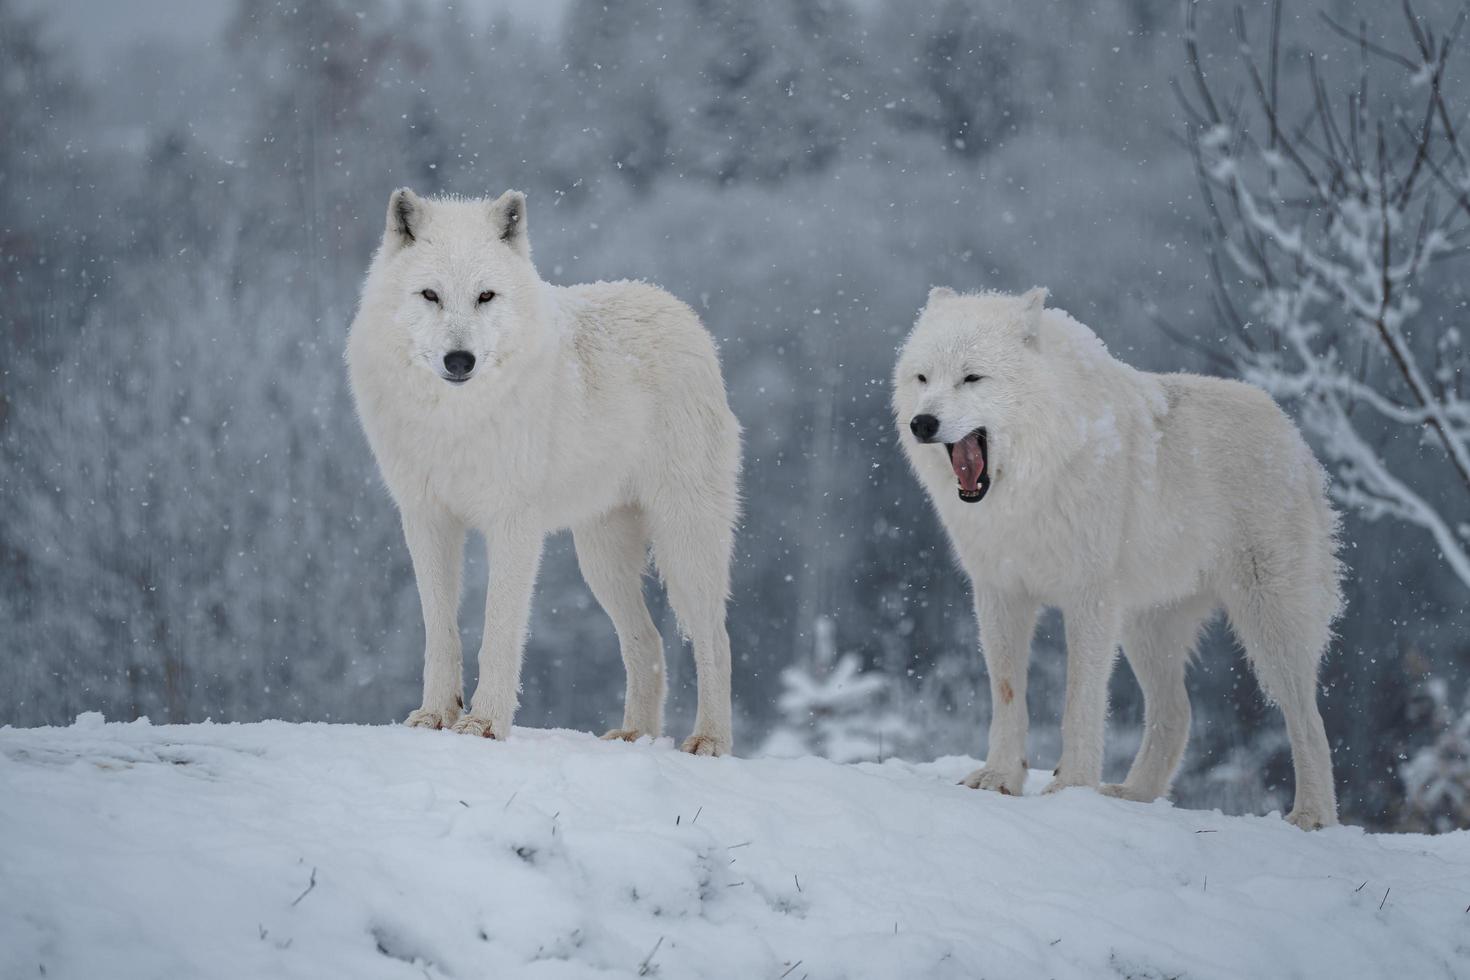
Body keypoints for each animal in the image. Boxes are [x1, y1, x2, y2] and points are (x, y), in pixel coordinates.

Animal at [342, 191, 735, 758]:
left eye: (485, 295)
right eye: (430, 295)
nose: (459, 360)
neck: (457, 421)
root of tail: (678, 309)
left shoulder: (513, 525)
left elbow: (499, 630)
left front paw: (484, 723)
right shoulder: (426, 520)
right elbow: (440, 630)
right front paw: (435, 715)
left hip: (685, 540)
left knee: (716, 639)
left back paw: (709, 740)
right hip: (601, 559)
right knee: (649, 641)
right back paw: (633, 735)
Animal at [893, 285, 1346, 828]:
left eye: (972, 377)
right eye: (923, 378)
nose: (922, 423)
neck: (1033, 483)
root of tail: (1293, 435)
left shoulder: (1089, 599)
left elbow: (1080, 699)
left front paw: (1071, 786)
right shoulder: (1000, 593)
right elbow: (1007, 692)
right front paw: (1000, 778)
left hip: (1269, 622)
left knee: (1309, 717)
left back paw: (1312, 815)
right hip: (1147, 629)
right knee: (1178, 713)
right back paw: (1132, 796)